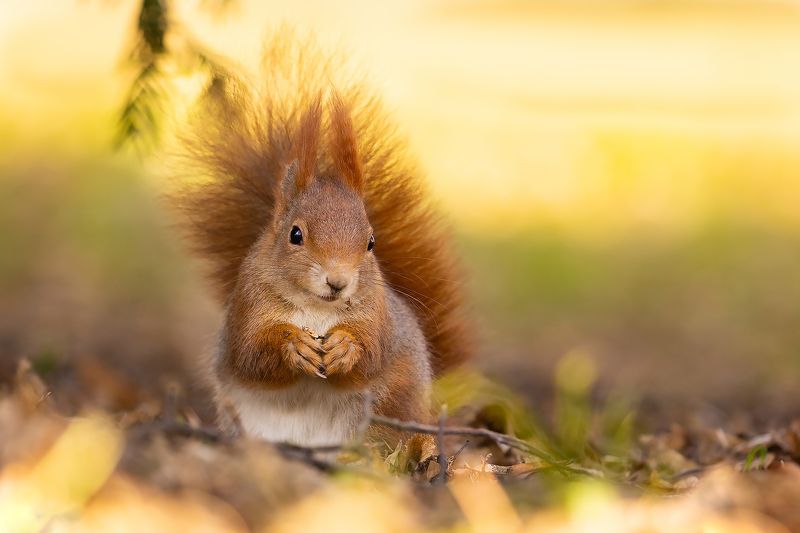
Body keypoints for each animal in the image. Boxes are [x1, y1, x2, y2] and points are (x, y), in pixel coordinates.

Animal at [168, 32, 471, 449]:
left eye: (371, 242)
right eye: (295, 235)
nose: (338, 281)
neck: (316, 308)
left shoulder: (377, 317)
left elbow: (371, 353)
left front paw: (346, 348)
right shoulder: (247, 308)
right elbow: (252, 354)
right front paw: (292, 345)